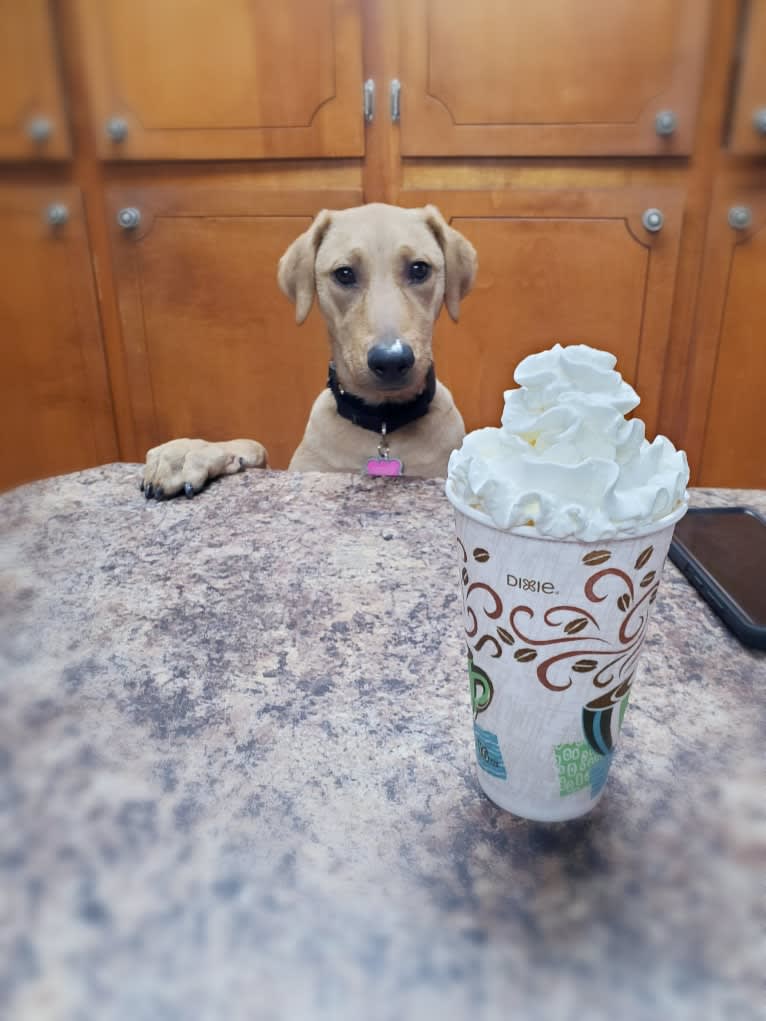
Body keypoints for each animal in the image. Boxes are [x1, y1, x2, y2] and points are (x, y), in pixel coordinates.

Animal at [136, 202, 473, 498]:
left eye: (419, 269)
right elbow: (255, 446)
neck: (382, 427)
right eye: (344, 273)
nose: (391, 361)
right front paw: (188, 452)